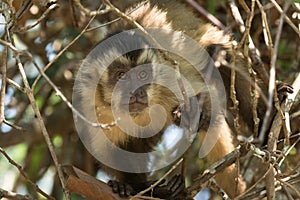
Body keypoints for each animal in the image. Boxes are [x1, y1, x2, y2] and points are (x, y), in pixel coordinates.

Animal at [74, 0, 256, 198]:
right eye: (121, 75)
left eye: (143, 74)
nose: (137, 92)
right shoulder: (90, 103)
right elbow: (108, 152)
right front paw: (129, 186)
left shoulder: (167, 78)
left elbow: (204, 97)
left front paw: (198, 113)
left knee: (218, 55)